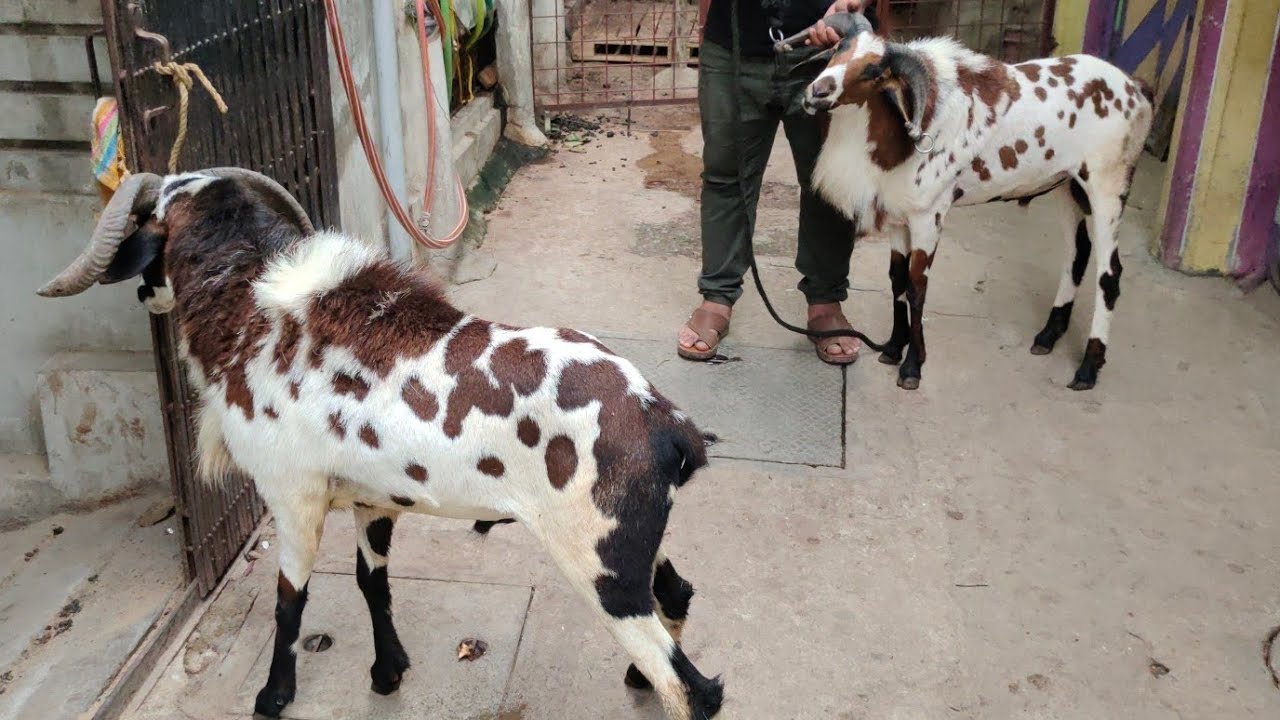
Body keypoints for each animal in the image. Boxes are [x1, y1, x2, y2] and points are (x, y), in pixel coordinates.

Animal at [37, 169, 723, 720]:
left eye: (148, 229)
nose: (141, 291)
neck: (255, 312)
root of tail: (670, 425)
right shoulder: (374, 500)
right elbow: (373, 583)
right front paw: (388, 672)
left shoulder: (293, 497)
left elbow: (290, 601)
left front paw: (274, 696)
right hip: (630, 542)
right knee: (676, 597)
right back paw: (636, 675)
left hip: (596, 563)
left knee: (694, 692)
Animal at [797, 14, 1153, 390]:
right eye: (839, 47)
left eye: (874, 71)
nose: (817, 92)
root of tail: (1136, 89)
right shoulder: (900, 216)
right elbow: (896, 278)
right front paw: (893, 347)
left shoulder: (929, 217)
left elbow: (916, 287)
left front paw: (912, 366)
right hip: (1068, 186)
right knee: (1078, 254)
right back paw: (1048, 335)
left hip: (1107, 186)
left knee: (1109, 275)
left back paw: (1088, 367)